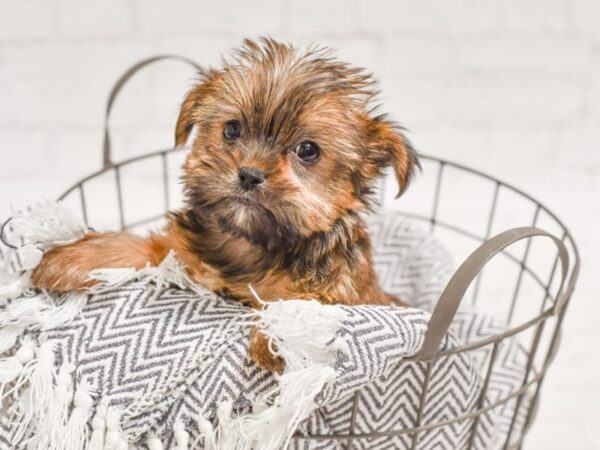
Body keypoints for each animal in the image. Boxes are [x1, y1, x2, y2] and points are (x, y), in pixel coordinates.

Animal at [31, 37, 418, 370]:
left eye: (308, 150)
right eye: (232, 129)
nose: (249, 174)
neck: (249, 245)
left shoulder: (343, 286)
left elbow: (308, 298)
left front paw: (286, 332)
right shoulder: (179, 254)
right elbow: (144, 246)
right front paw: (77, 257)